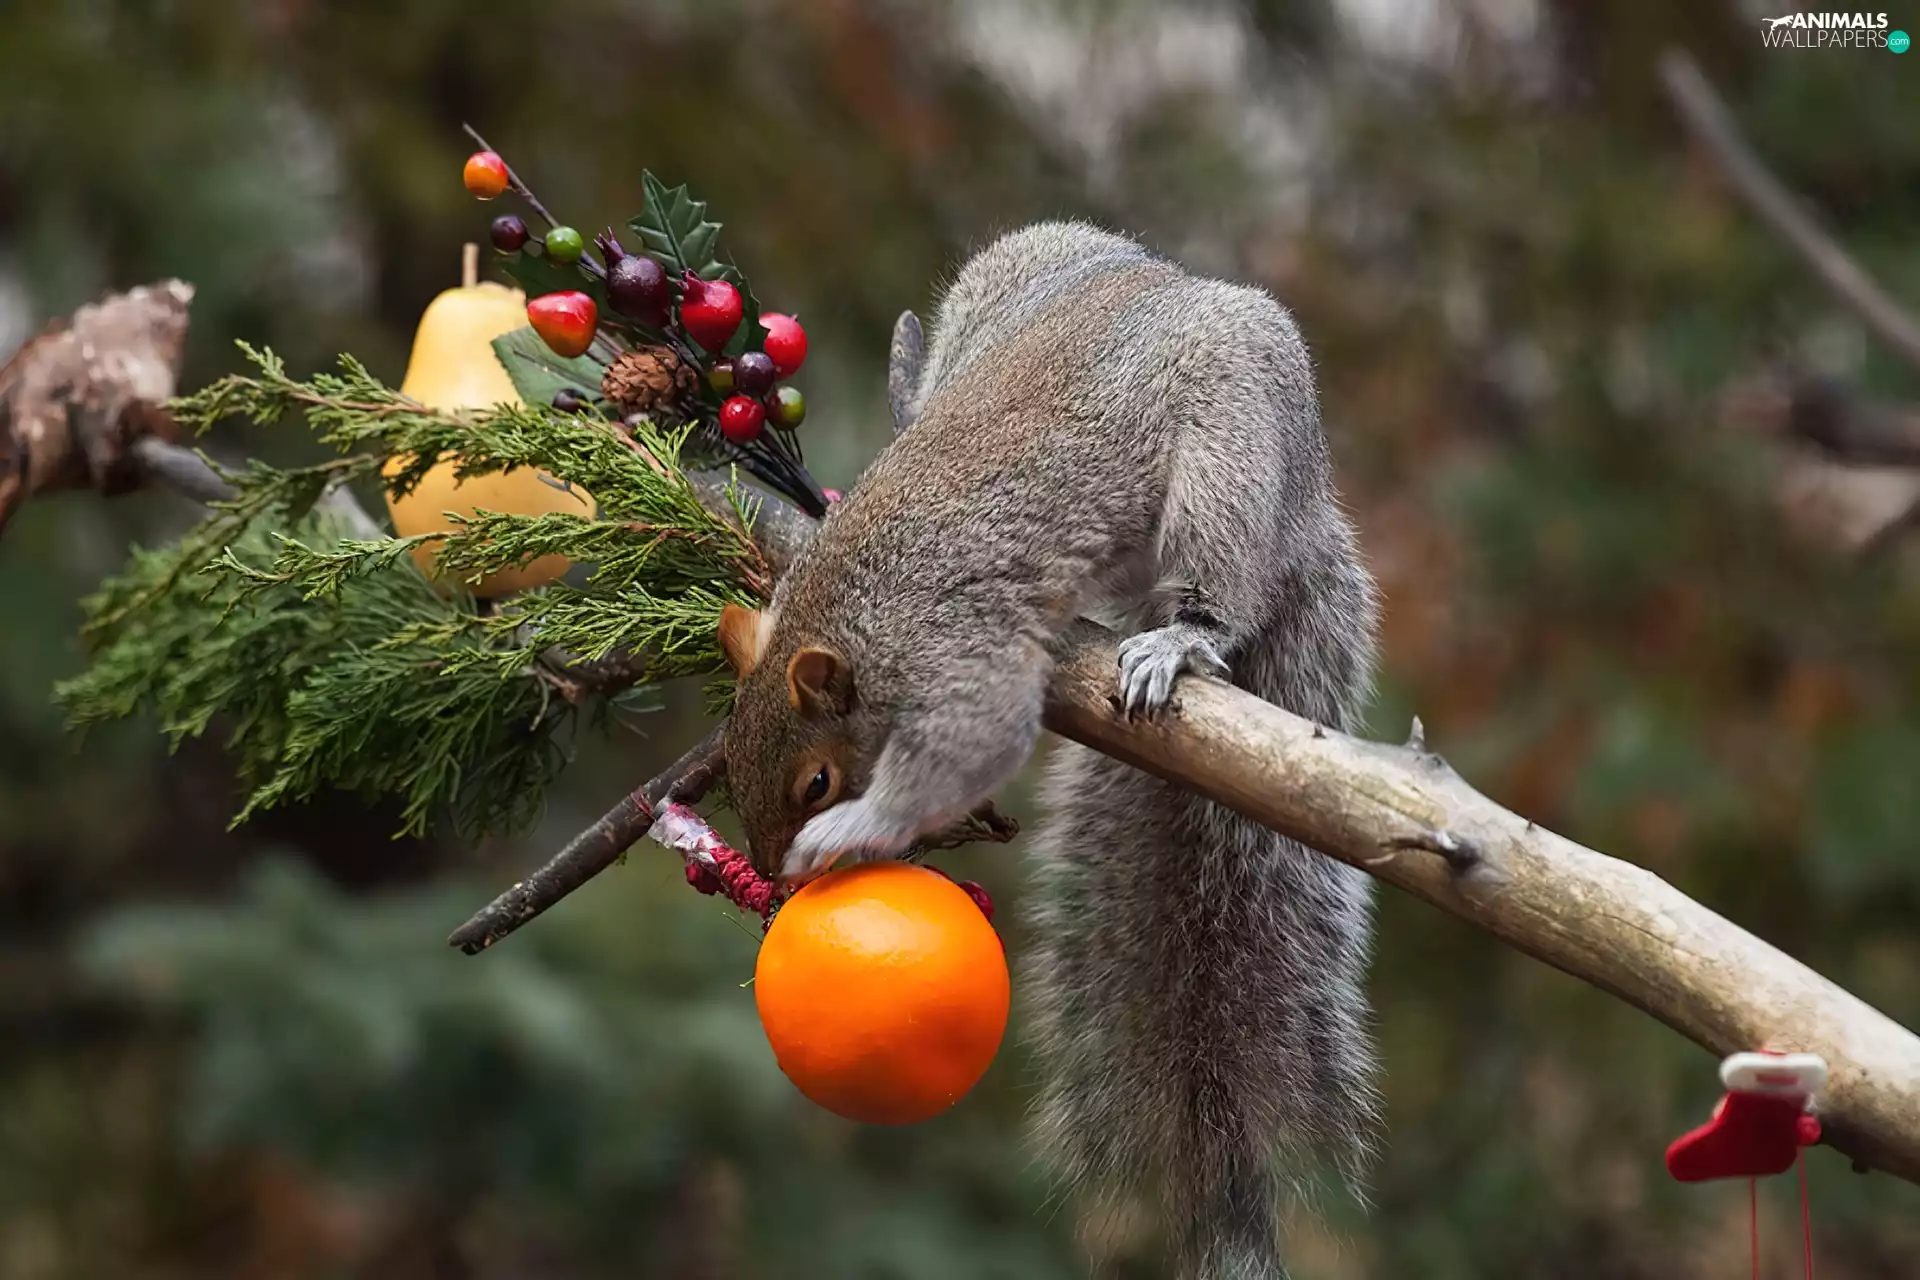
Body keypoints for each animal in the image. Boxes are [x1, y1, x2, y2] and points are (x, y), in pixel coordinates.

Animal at [716, 221, 1381, 1279]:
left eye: (816, 782)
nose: (775, 876)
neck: (840, 606)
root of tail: (1309, 499)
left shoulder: (954, 647)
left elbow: (972, 740)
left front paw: (854, 831)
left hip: (1232, 444)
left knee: (1221, 579)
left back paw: (1179, 638)